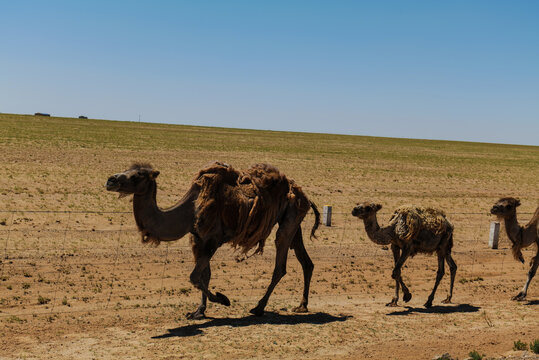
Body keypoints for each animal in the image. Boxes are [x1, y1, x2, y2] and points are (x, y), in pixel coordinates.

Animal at [105, 162, 320, 318]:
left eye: (137, 175)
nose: (110, 180)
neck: (189, 210)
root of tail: (304, 195)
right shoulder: (198, 239)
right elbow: (204, 275)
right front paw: (198, 311)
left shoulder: (212, 240)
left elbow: (194, 277)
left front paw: (223, 299)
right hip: (294, 222)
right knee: (306, 262)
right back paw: (302, 306)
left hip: (289, 219)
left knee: (280, 264)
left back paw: (259, 308)